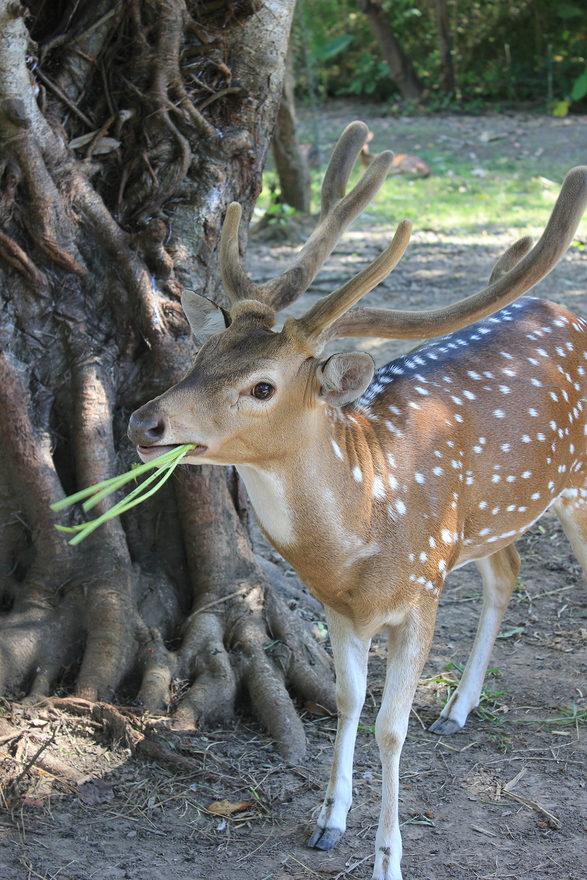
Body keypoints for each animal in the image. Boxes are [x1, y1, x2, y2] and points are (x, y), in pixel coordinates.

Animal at [129, 122, 587, 880]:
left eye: (262, 386)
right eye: (202, 352)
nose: (145, 423)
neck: (359, 540)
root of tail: (559, 308)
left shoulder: (423, 593)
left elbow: (390, 728)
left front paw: (388, 858)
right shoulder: (339, 611)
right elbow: (347, 703)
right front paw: (327, 819)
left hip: (572, 485)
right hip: (489, 519)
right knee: (509, 570)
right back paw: (457, 708)